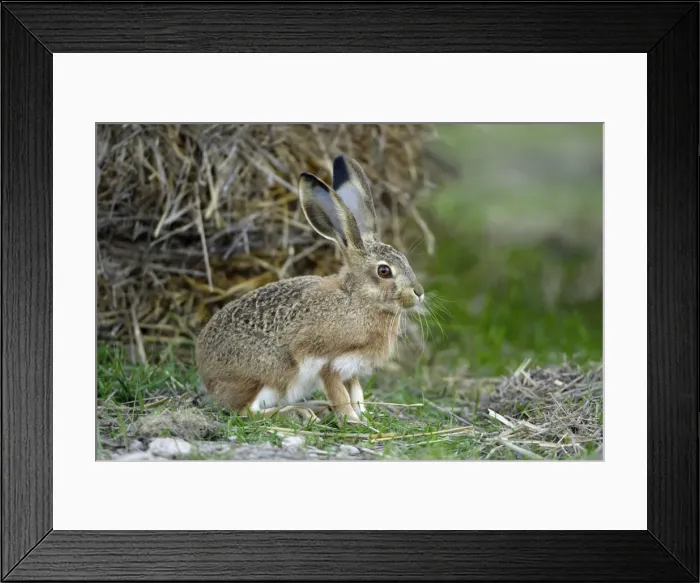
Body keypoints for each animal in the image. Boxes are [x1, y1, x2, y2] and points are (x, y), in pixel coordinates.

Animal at [195, 154, 425, 425]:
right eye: (384, 271)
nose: (419, 292)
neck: (358, 299)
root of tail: (208, 377)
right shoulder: (328, 363)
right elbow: (340, 396)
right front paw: (353, 421)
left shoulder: (352, 370)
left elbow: (356, 393)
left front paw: (365, 418)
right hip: (272, 375)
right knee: (245, 411)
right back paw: (300, 413)